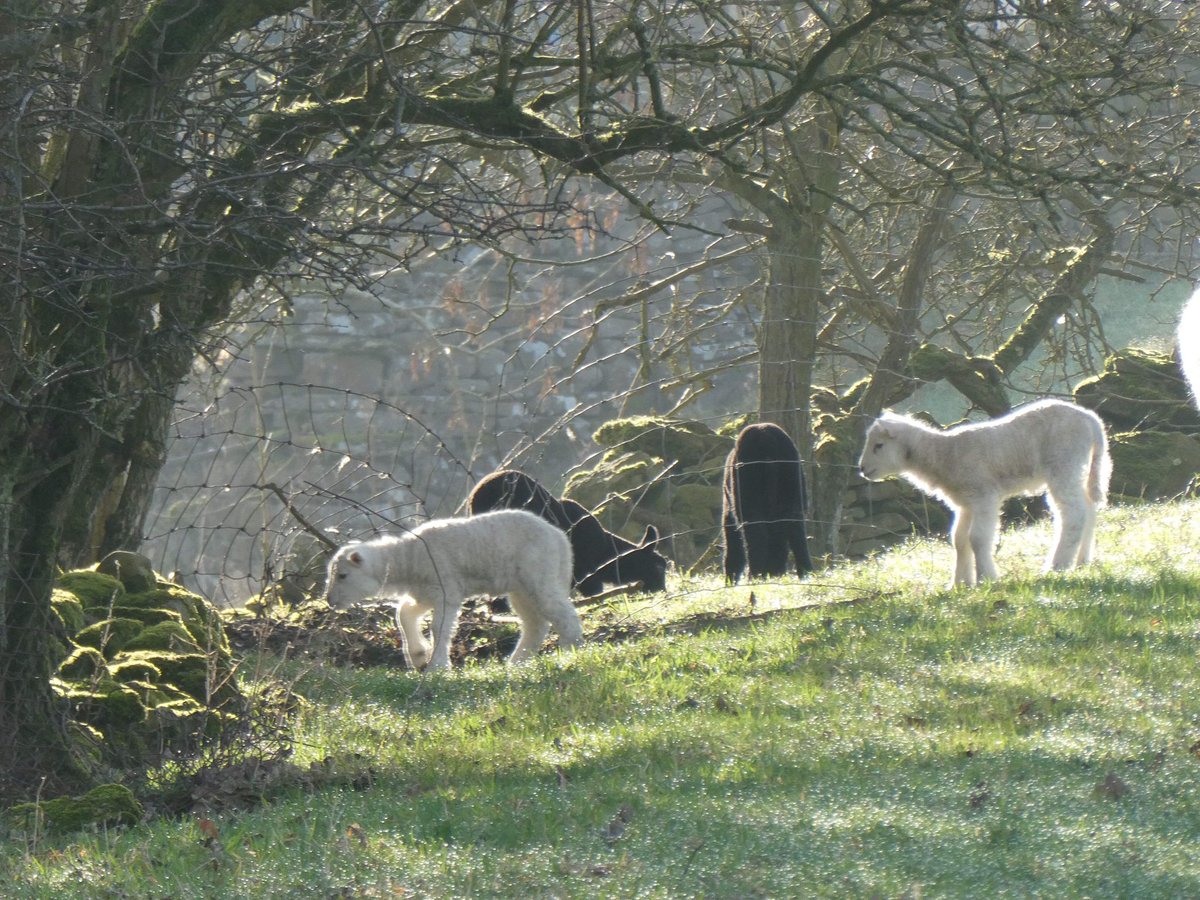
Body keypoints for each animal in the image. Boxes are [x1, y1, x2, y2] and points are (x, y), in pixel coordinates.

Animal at [323, 509, 582, 670]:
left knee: (562, 614)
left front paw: (436, 666)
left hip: (540, 575)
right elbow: (403, 613)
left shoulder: (446, 590)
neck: (408, 558)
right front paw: (418, 656)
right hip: (521, 588)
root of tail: (560, 539)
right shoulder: (426, 593)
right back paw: (518, 662)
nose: (329, 601)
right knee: (535, 624)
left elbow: (438, 628)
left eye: (343, 575)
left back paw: (572, 651)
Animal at [721, 422, 815, 584]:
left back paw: (754, 576)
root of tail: (765, 435)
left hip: (748, 496)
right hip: (793, 485)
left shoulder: (729, 510)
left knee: (757, 535)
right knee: (797, 531)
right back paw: (806, 573)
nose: (775, 572)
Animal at [857, 399, 1111, 586]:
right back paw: (1081, 561)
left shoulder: (983, 497)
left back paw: (1057, 566)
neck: (942, 454)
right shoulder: (965, 503)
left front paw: (985, 579)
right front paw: (959, 584)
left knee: (1074, 515)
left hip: (1063, 464)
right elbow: (959, 540)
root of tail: (1091, 420)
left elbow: (977, 539)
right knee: (1089, 508)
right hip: (1076, 468)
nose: (861, 469)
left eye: (879, 445)